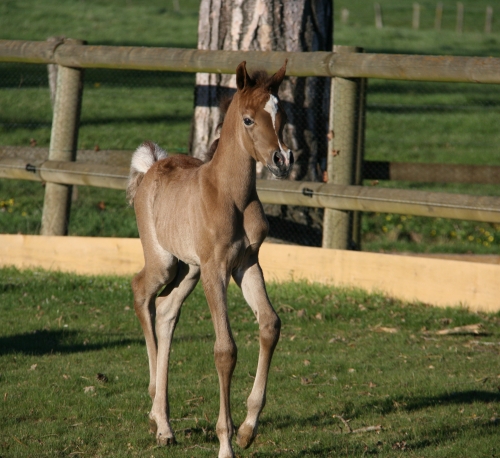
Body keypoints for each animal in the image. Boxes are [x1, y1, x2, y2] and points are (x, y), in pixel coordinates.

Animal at [127, 60, 292, 458]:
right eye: (248, 119)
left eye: (282, 115)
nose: (282, 159)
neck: (231, 195)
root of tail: (151, 167)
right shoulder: (216, 269)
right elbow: (225, 350)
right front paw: (225, 442)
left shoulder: (246, 263)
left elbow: (270, 324)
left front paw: (247, 430)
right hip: (166, 263)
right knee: (142, 291)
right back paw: (158, 416)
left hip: (189, 269)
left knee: (166, 311)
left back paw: (163, 420)